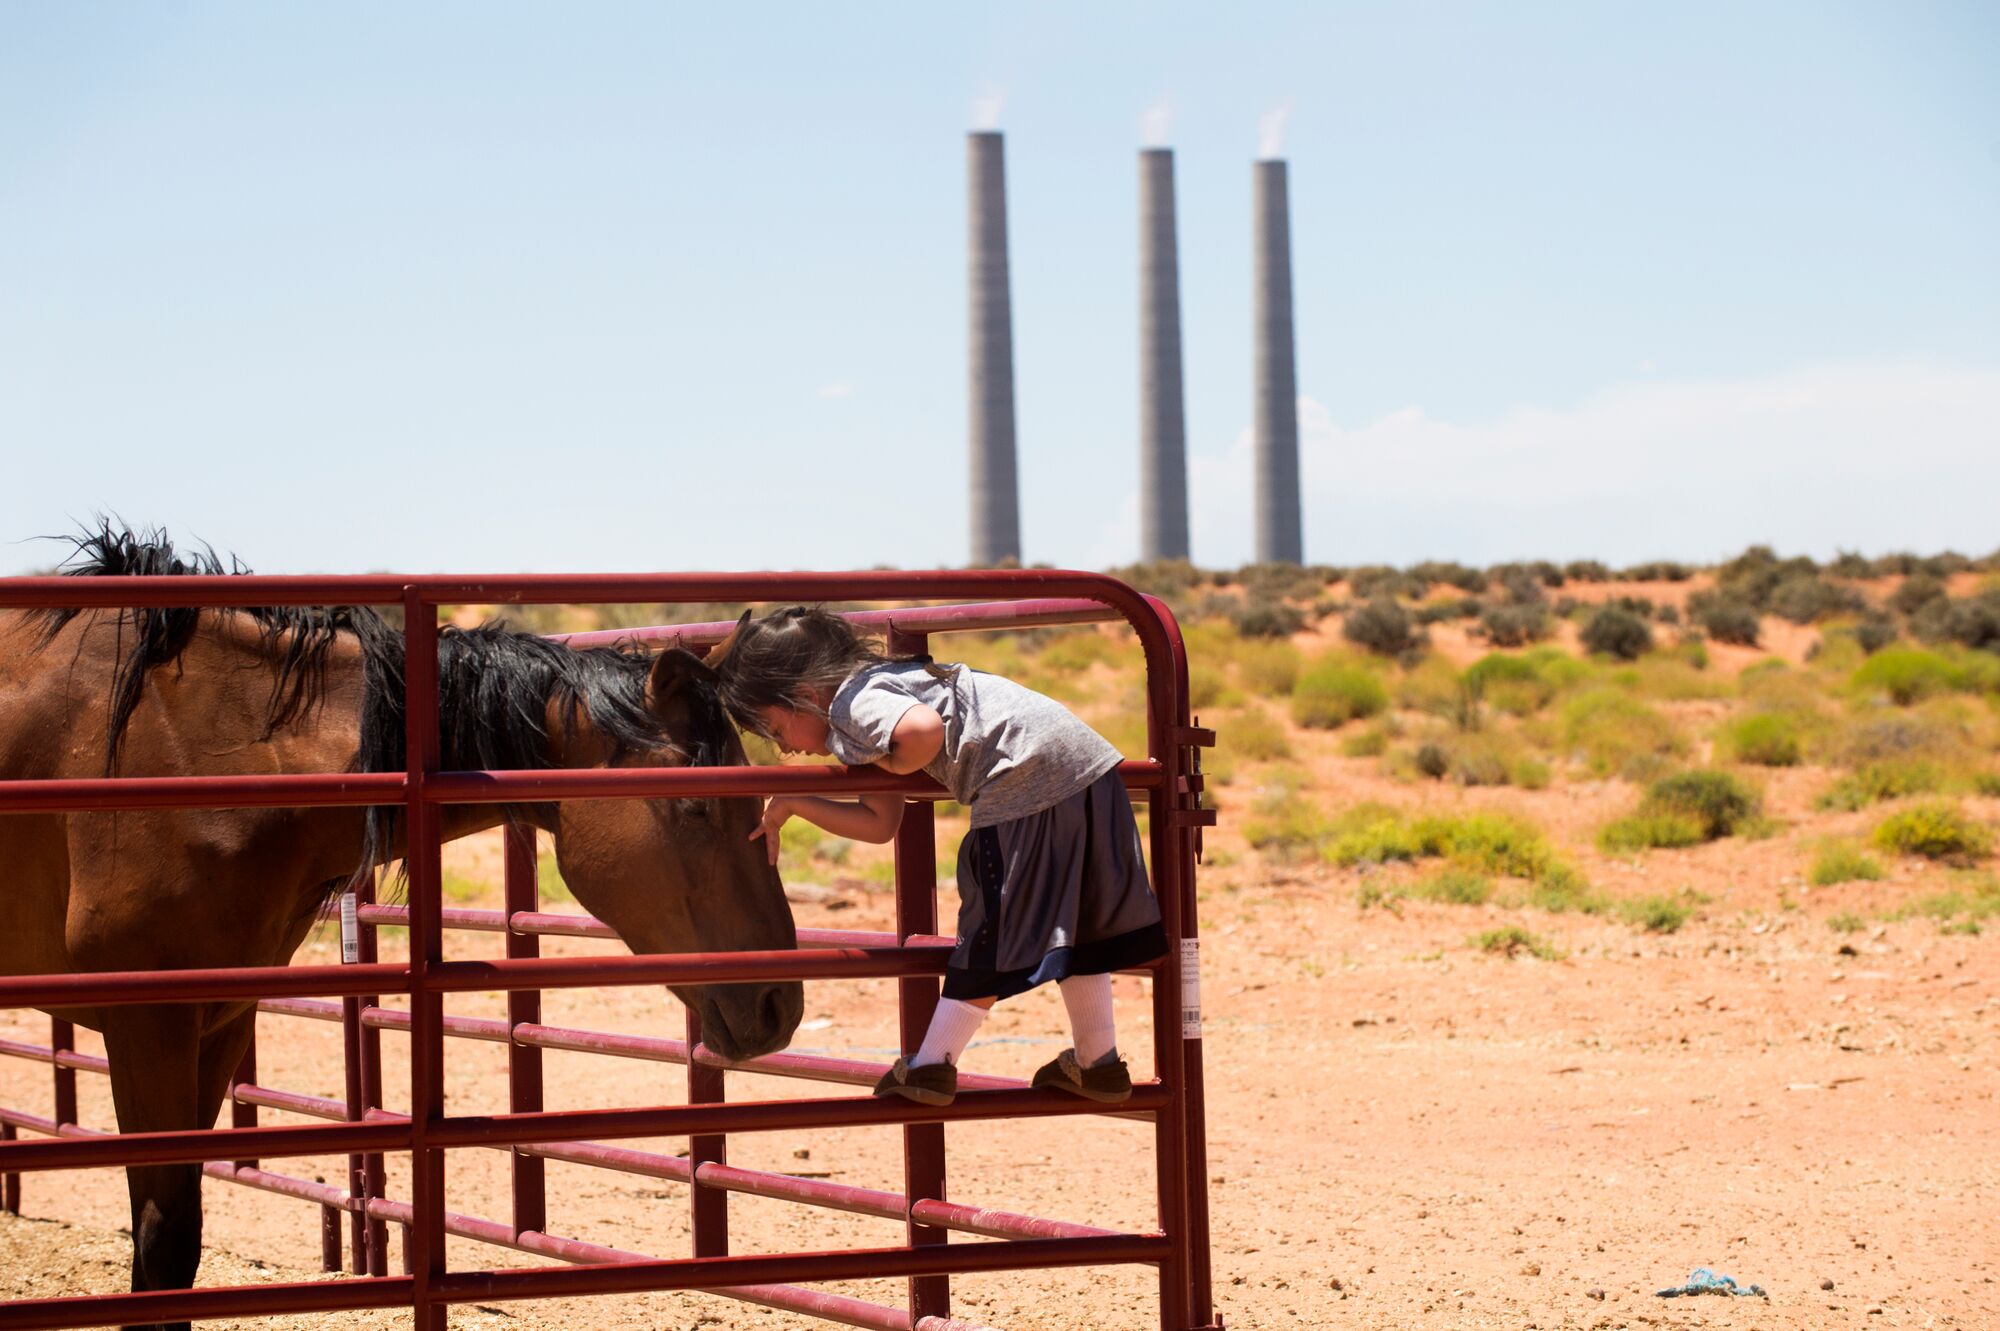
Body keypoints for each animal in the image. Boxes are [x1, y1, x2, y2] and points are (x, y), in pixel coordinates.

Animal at [1, 523, 796, 1319]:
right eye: (695, 805)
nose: (779, 1003)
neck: (207, 749)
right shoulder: (148, 1025)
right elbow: (162, 1243)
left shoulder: (216, 1021)